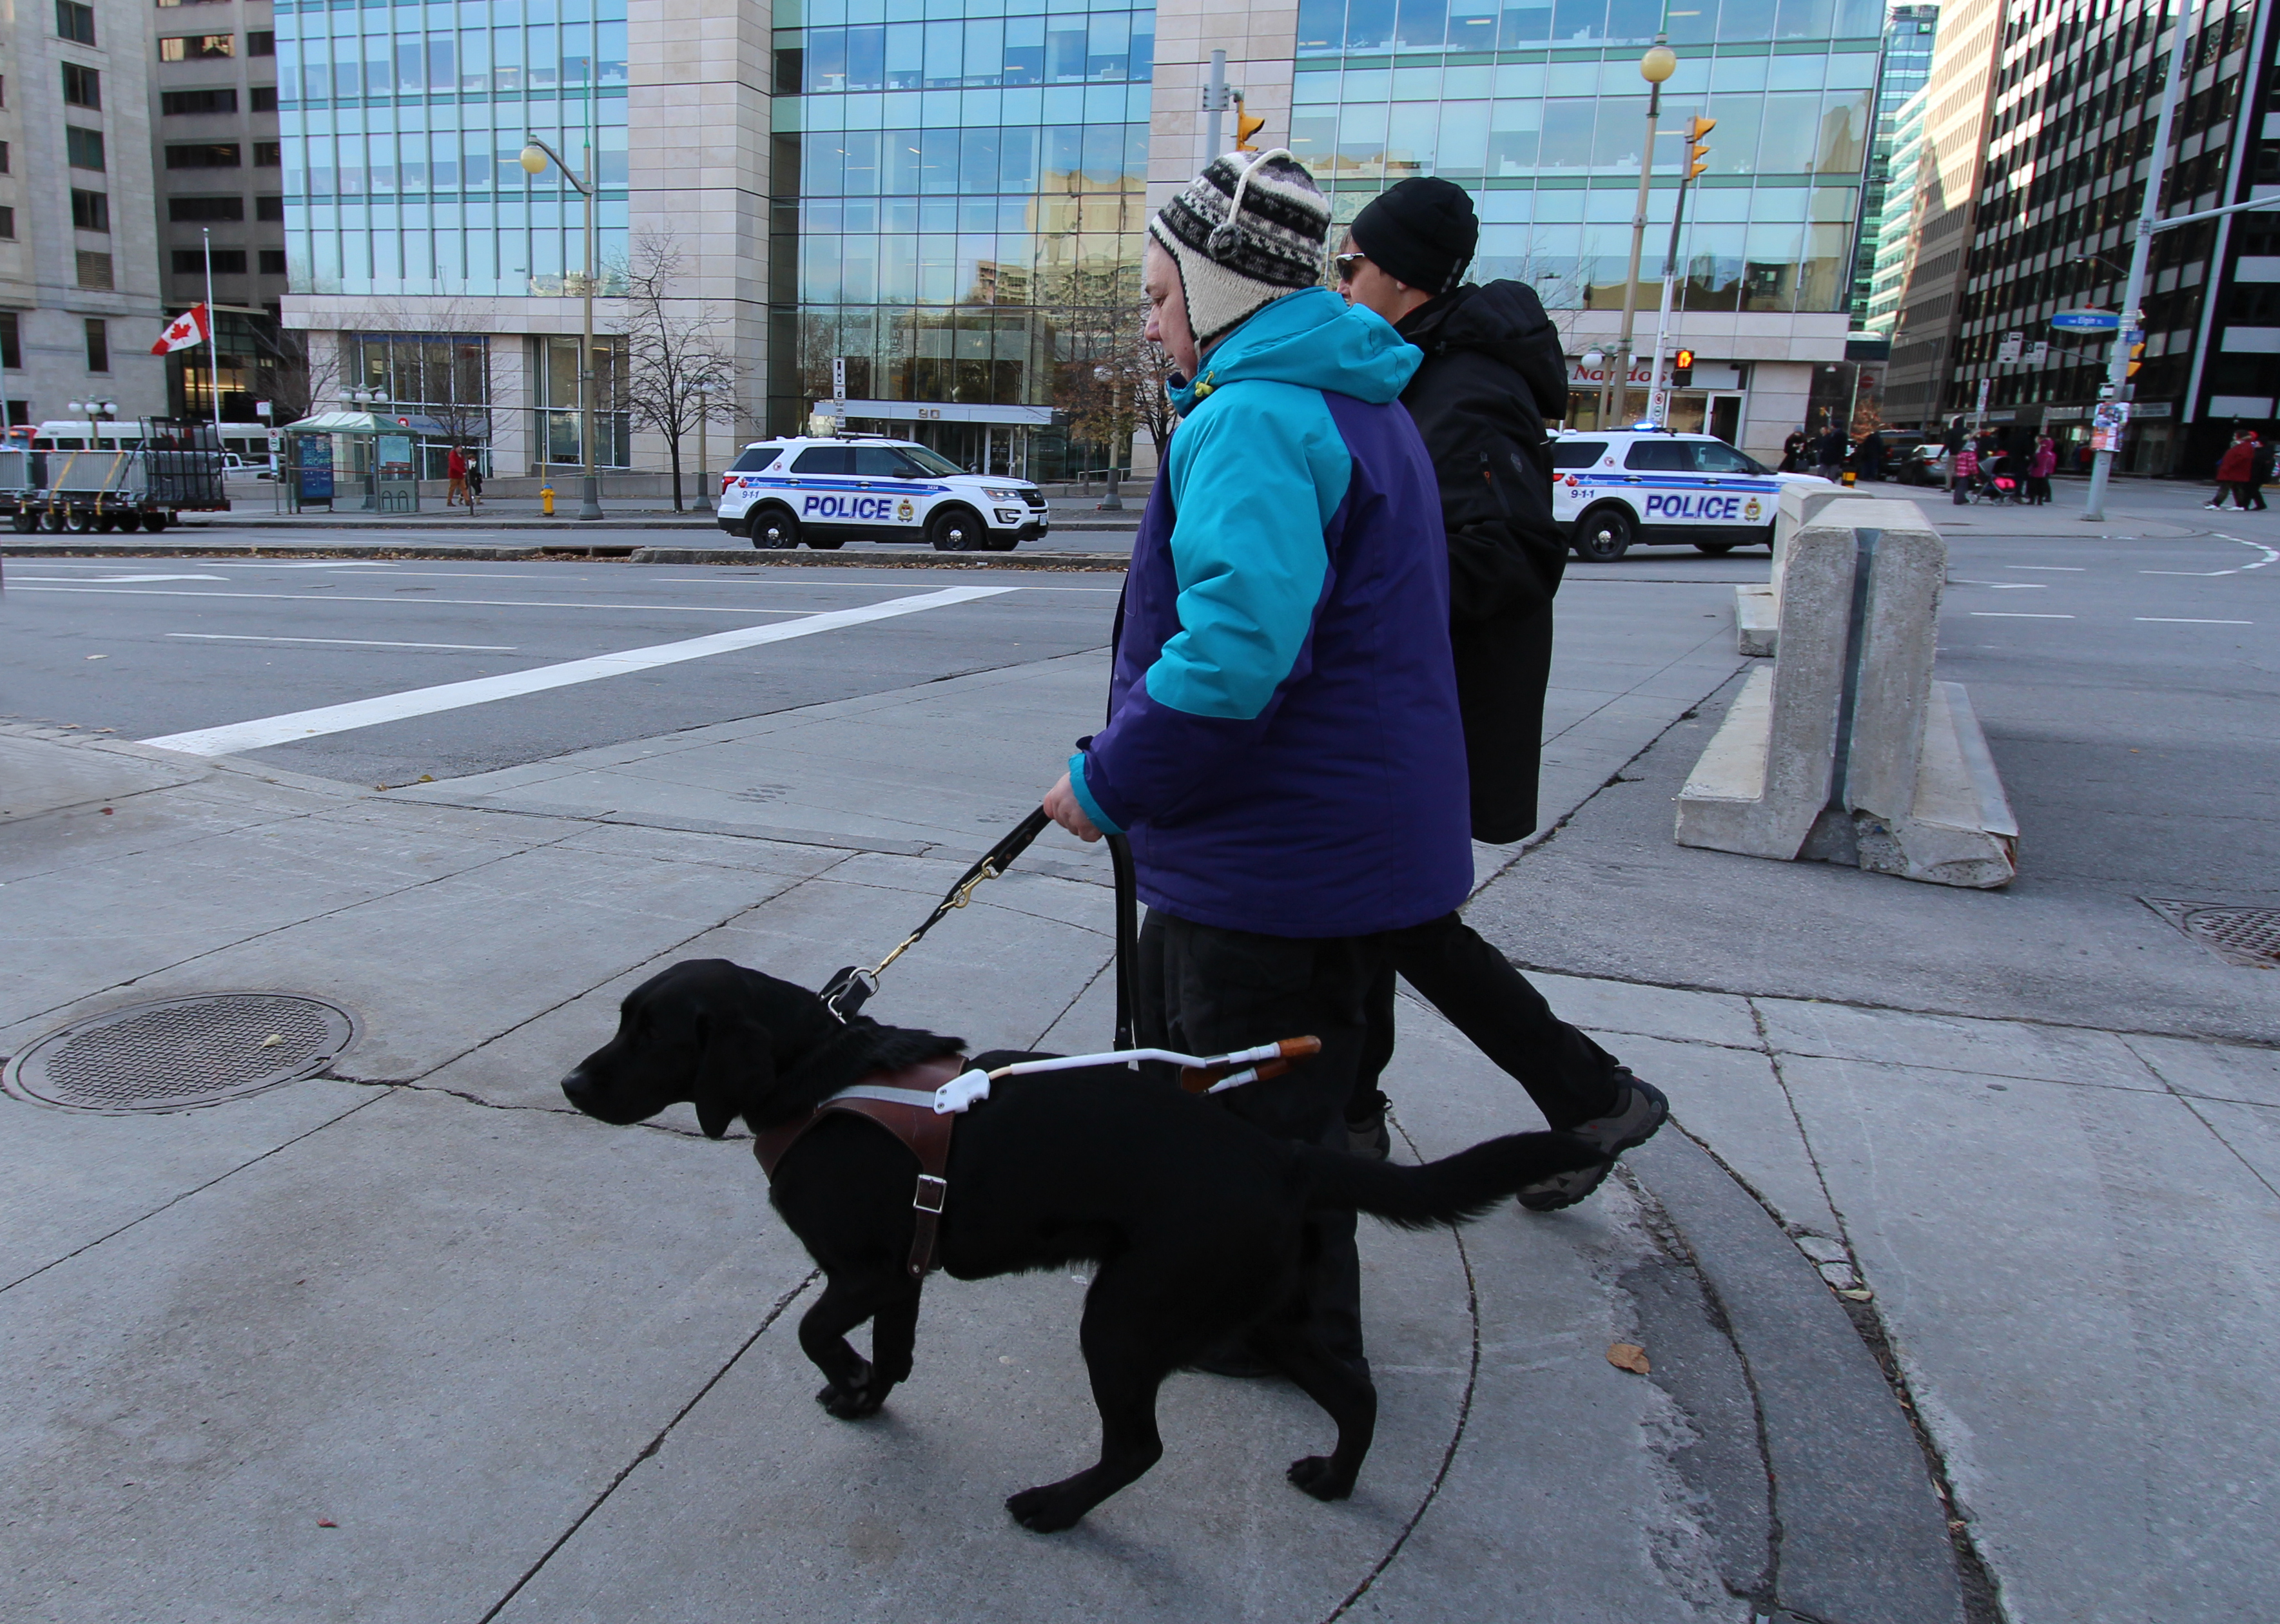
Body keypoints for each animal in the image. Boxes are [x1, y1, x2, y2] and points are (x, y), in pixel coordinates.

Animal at [565, 958, 1605, 1532]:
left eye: (651, 1033)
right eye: (624, 1021)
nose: (573, 1085)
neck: (815, 1073)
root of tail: (1281, 1154)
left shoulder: (860, 1270)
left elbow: (812, 1332)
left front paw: (846, 1376)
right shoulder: (903, 1271)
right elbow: (894, 1354)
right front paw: (867, 1395)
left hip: (1127, 1315)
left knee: (1140, 1446)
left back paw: (1055, 1509)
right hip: (1261, 1308)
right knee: (1354, 1391)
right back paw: (1336, 1480)